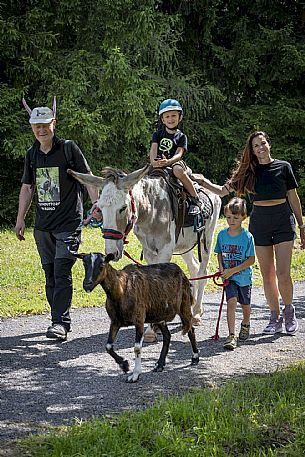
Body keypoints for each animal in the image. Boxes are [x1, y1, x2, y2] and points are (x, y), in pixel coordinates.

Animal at [75, 251, 200, 382]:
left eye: (101, 265)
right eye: (84, 264)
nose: (87, 285)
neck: (121, 289)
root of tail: (181, 271)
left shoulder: (139, 320)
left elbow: (137, 348)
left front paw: (135, 374)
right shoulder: (115, 321)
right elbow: (108, 346)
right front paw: (124, 365)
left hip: (184, 305)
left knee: (190, 329)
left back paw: (195, 358)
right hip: (159, 314)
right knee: (167, 336)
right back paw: (159, 365)